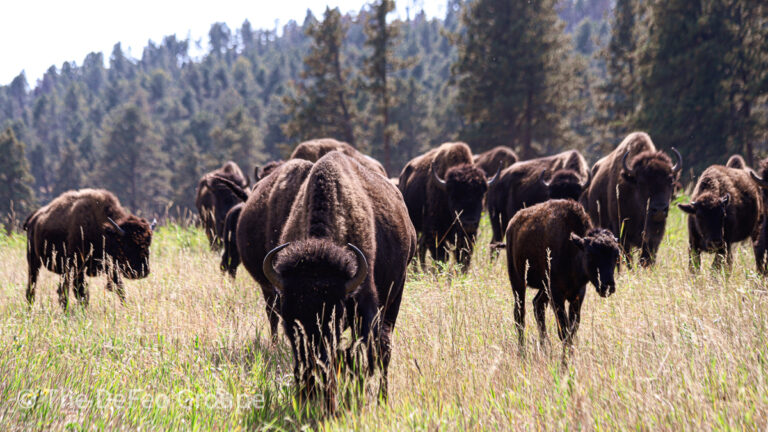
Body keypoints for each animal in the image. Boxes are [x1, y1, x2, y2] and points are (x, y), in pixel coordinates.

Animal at [24, 189, 156, 309]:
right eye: (127, 244)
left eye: (149, 243)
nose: (142, 272)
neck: (105, 231)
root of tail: (33, 218)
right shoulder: (78, 266)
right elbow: (81, 291)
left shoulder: (111, 266)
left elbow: (120, 288)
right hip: (34, 261)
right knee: (33, 286)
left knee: (61, 289)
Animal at [399, 142, 498, 270]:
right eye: (453, 197)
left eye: (481, 195)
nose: (469, 223)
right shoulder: (436, 233)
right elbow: (441, 257)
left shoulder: (468, 237)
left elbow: (463, 257)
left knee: (420, 247)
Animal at [505, 199, 620, 350]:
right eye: (590, 255)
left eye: (616, 256)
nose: (607, 287)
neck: (573, 250)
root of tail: (512, 224)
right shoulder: (556, 295)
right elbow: (564, 331)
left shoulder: (577, 295)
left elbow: (573, 330)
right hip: (518, 282)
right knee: (520, 315)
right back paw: (522, 350)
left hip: (543, 288)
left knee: (538, 305)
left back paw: (545, 347)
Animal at [581, 132, 682, 267]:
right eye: (641, 182)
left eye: (670, 180)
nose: (660, 209)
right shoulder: (621, 231)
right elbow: (627, 257)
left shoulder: (654, 237)